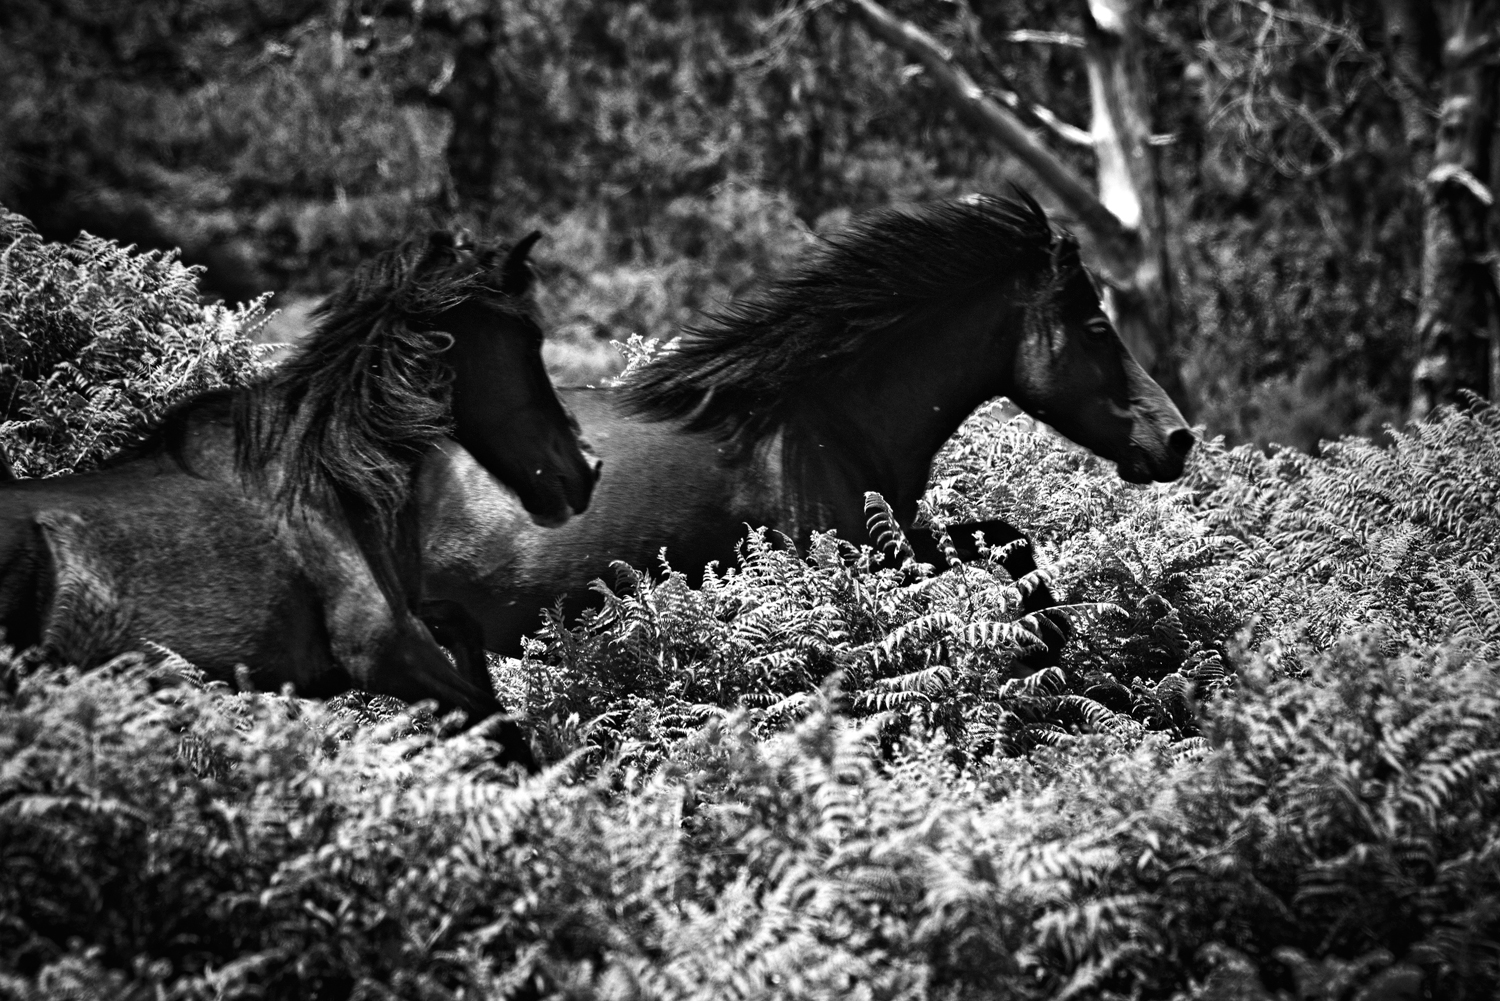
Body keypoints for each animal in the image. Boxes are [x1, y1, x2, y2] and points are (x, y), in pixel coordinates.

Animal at [0, 231, 599, 763]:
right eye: (530, 337)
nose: (585, 469)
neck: (329, 479)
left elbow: (468, 639)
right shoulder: (387, 656)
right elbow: (498, 726)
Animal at [416, 191, 1194, 664]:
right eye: (1097, 329)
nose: (1178, 439)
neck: (822, 423)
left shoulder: (896, 544)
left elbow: (1007, 540)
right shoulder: (857, 560)